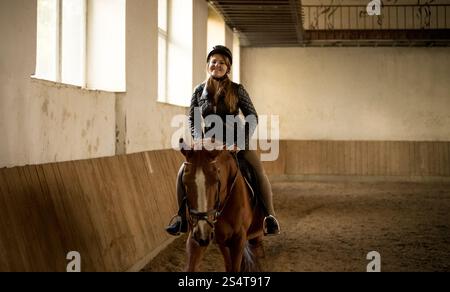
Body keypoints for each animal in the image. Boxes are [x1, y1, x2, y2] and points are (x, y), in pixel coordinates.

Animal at [178, 139, 264, 272]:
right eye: (185, 181)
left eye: (216, 180)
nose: (203, 232)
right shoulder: (200, 237)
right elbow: (190, 266)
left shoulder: (238, 240)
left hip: (255, 234)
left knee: (256, 250)